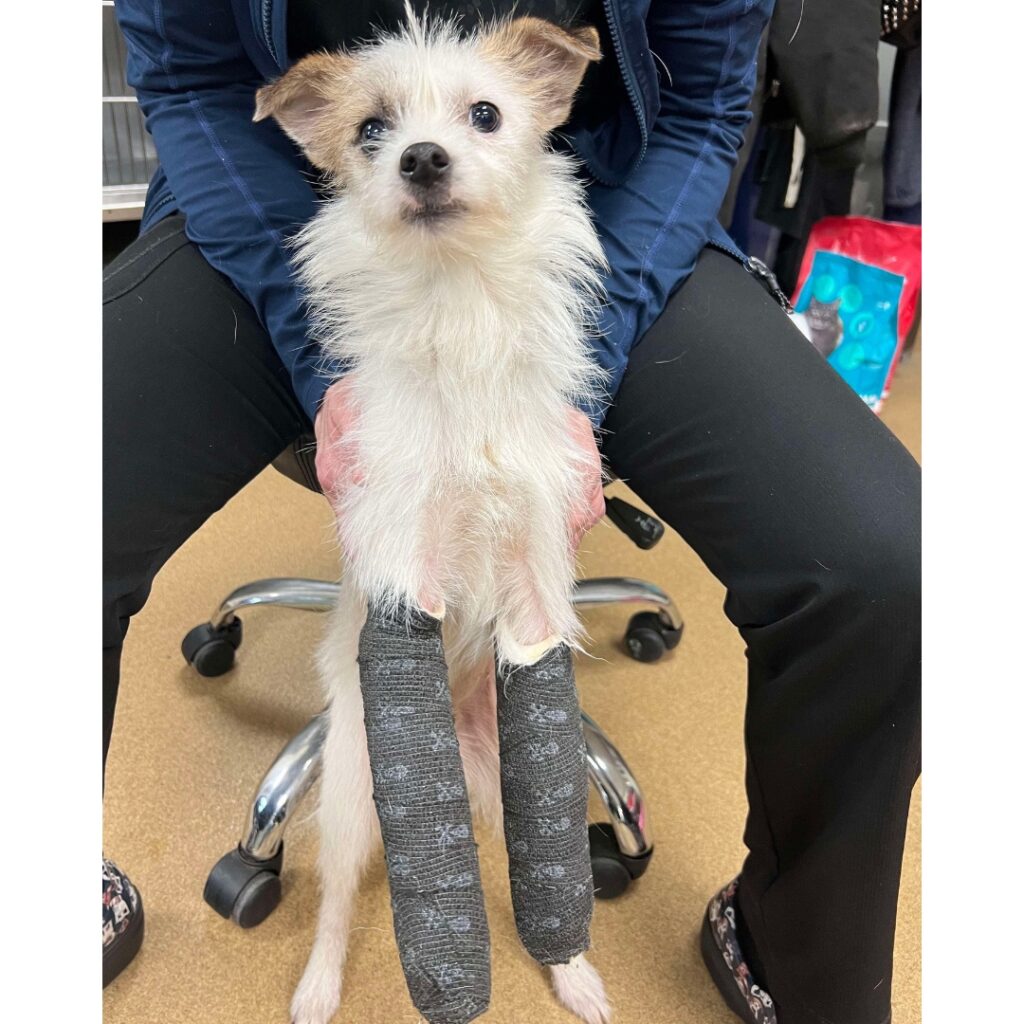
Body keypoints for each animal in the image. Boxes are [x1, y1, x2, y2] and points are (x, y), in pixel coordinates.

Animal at [255, 11, 611, 1023]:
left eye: (485, 113)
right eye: (371, 129)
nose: (420, 157)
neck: (458, 305)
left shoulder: (536, 572)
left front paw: (562, 959)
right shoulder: (402, 559)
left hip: (501, 768)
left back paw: (572, 972)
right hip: (352, 787)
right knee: (337, 897)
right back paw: (319, 985)